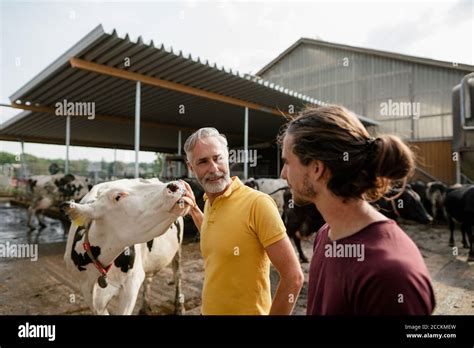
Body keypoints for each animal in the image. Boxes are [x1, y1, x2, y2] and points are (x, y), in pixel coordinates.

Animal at [62, 179, 192, 316]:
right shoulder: (87, 291)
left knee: (177, 273)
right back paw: (144, 308)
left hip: (178, 248)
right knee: (148, 278)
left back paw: (179, 306)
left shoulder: (131, 284)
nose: (176, 184)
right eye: (118, 196)